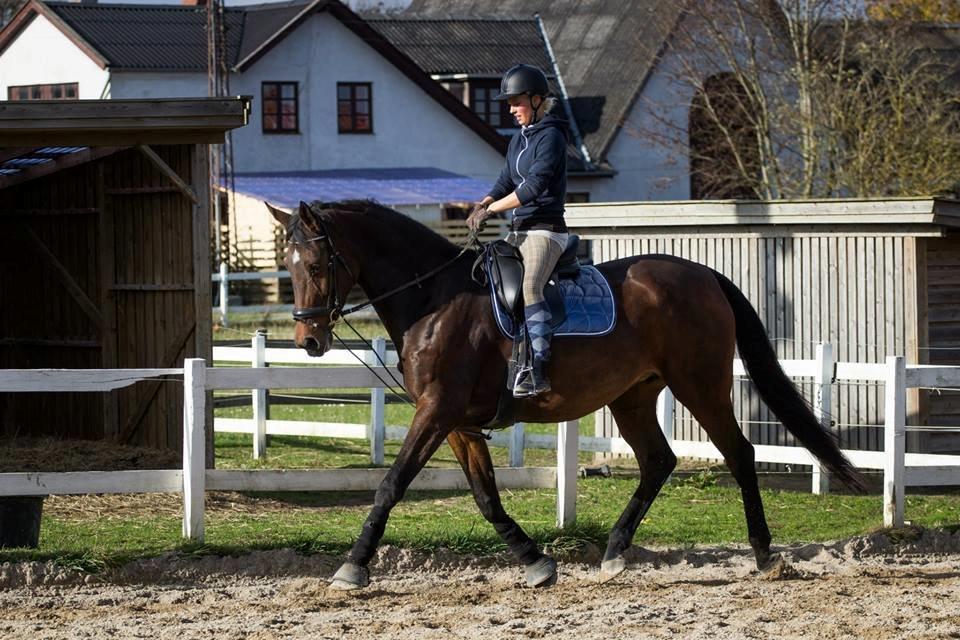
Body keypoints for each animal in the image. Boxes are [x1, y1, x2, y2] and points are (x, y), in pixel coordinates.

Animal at [266, 199, 868, 592]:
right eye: (287, 267)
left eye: (316, 264)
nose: (308, 340)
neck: (434, 299)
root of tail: (703, 274)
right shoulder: (457, 422)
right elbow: (486, 497)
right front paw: (535, 562)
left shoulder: (436, 413)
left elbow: (391, 484)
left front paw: (353, 565)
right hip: (632, 396)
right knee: (658, 461)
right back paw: (615, 552)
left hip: (699, 385)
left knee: (738, 453)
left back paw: (764, 554)